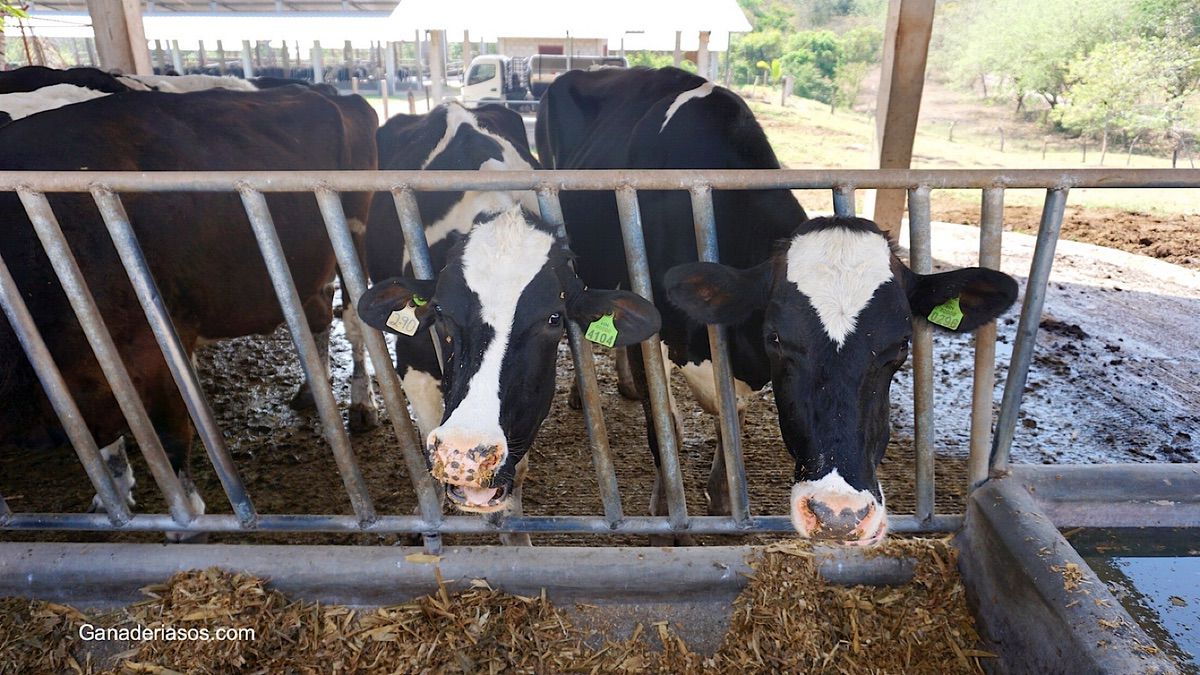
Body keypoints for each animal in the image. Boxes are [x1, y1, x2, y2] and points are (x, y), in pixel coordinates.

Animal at [0, 84, 376, 526]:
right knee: (318, 310)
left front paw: (187, 514)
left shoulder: (156, 341)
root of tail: (324, 90)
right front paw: (116, 493)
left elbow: (170, 429)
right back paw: (311, 386)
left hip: (352, 231)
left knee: (354, 322)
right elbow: (106, 432)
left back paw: (362, 403)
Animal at [540, 66, 1017, 540]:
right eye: (776, 338)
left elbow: (731, 419)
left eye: (901, 346)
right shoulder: (650, 335)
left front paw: (725, 499)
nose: (838, 513)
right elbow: (665, 427)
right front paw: (669, 518)